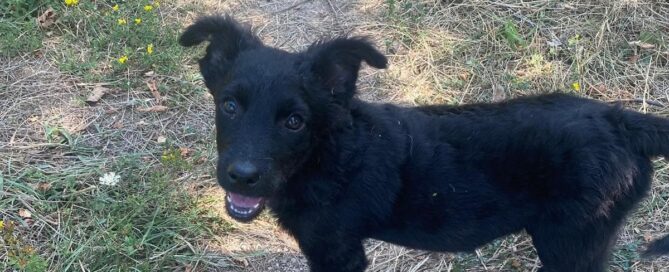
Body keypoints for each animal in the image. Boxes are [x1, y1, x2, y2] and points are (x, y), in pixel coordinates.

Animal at [177, 15, 668, 272]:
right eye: (229, 106)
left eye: (295, 122)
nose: (242, 176)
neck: (328, 155)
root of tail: (619, 118)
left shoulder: (336, 251)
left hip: (572, 243)